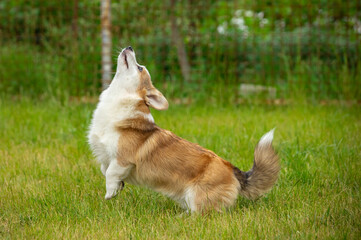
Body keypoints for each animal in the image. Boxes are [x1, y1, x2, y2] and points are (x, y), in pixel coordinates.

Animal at [87, 46, 278, 213]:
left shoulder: (123, 160)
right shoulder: (108, 159)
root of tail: (234, 170)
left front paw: (110, 193)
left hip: (197, 196)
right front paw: (119, 187)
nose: (130, 47)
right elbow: (105, 170)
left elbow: (110, 173)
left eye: (140, 67)